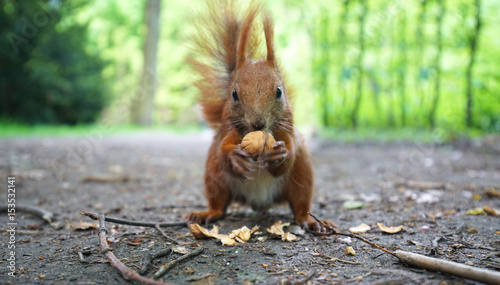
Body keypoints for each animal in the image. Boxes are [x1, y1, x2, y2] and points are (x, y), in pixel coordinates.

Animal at [187, 1, 328, 232]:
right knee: (219, 203)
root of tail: (259, 201)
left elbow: (288, 154)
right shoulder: (229, 128)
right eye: (234, 94)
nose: (257, 123)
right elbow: (225, 149)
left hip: (302, 172)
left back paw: (310, 221)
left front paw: (279, 154)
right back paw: (206, 213)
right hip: (214, 175)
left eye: (279, 91)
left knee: (300, 202)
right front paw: (234, 157)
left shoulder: (286, 128)